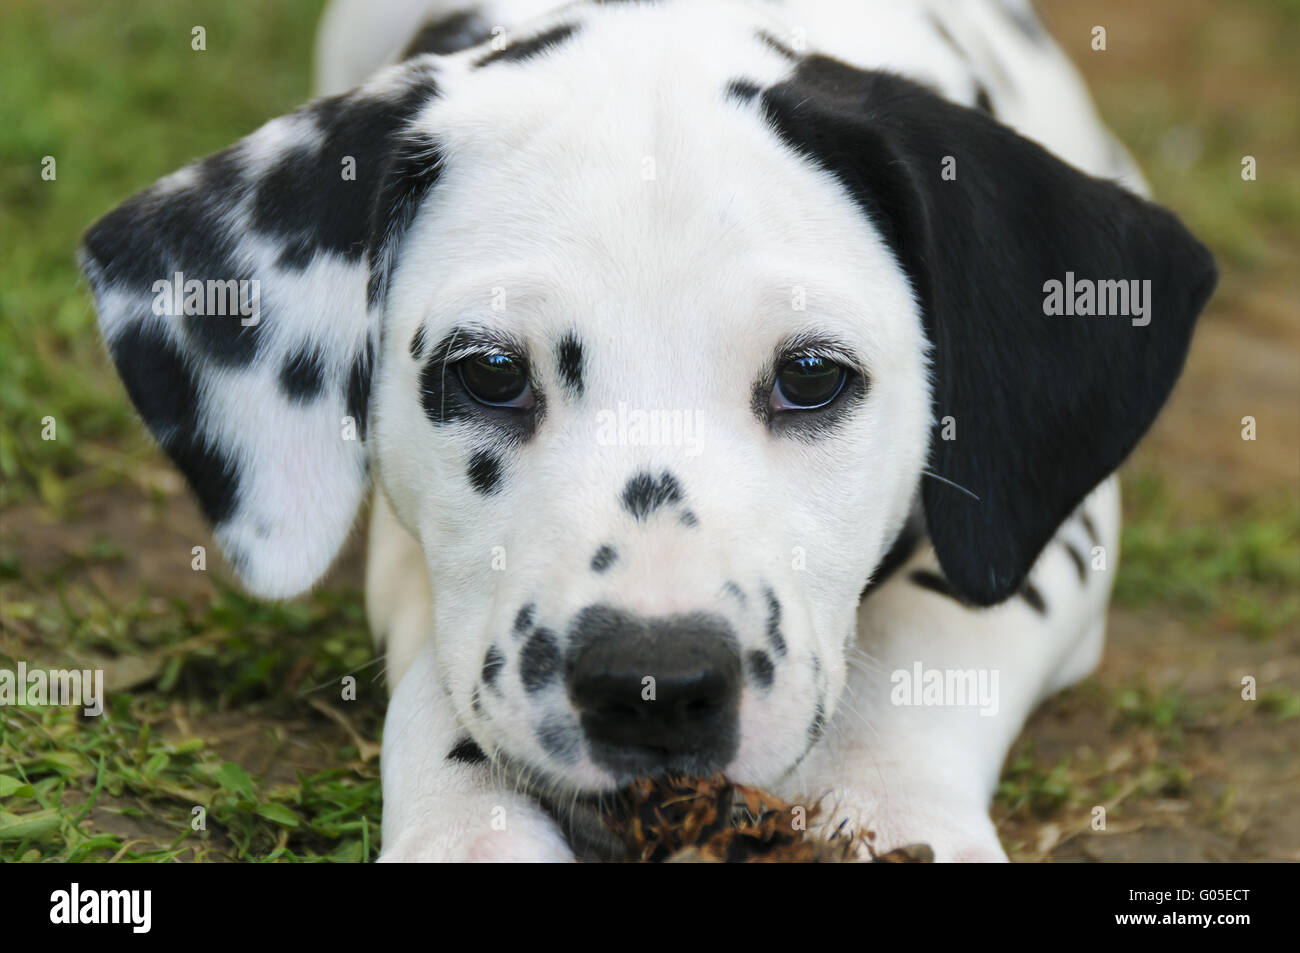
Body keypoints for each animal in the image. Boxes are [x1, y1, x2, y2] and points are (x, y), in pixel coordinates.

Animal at [83, 0, 1216, 863]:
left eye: (811, 375)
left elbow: (928, 637)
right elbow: (445, 687)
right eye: (489, 372)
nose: (656, 686)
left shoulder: (1056, 534)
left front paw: (887, 805)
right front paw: (471, 825)